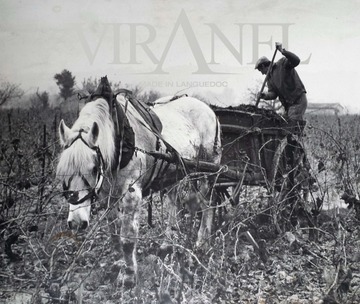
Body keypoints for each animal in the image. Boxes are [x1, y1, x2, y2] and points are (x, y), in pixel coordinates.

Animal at [56, 82, 221, 288]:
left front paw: (129, 276)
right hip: (174, 171)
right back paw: (168, 243)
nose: (77, 223)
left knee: (208, 203)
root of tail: (209, 109)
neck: (119, 139)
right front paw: (119, 263)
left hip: (209, 170)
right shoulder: (107, 195)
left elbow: (127, 238)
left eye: (94, 168)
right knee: (173, 204)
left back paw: (201, 242)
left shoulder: (132, 193)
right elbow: (114, 233)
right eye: (63, 172)